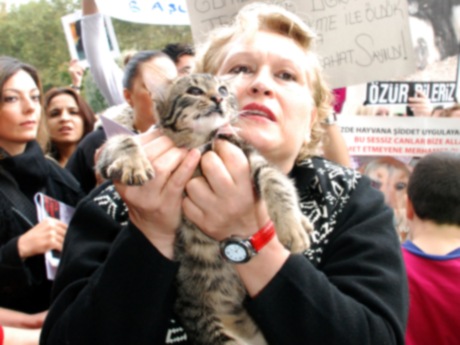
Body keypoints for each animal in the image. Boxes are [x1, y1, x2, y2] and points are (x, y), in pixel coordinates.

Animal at [97, 74, 312, 342]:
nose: (218, 98)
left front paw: (293, 227)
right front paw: (134, 163)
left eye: (223, 89)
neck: (197, 143)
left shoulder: (249, 154)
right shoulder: (109, 158)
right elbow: (121, 139)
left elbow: (277, 182)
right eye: (194, 91)